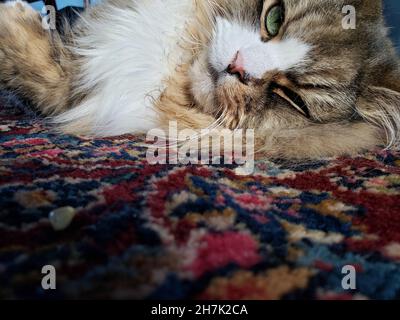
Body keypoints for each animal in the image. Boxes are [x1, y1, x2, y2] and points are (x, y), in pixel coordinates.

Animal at [0, 0, 400, 159]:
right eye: (274, 18)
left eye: (293, 100)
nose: (239, 68)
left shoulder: (81, 91)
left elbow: (40, 71)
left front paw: (12, 16)